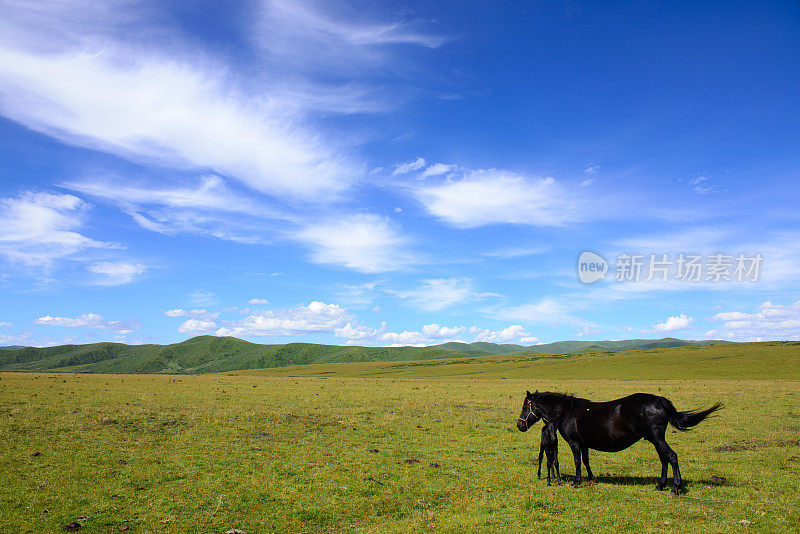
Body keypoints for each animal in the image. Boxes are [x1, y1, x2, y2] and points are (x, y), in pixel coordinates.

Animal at [516, 392, 720, 496]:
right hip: (655, 439)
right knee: (664, 460)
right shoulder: (584, 443)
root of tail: (658, 400)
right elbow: (586, 461)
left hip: (657, 438)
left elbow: (577, 461)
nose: (519, 425)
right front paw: (591, 478)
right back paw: (660, 485)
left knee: (672, 457)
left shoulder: (574, 442)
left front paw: (577, 482)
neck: (566, 411)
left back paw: (676, 488)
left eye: (526, 406)